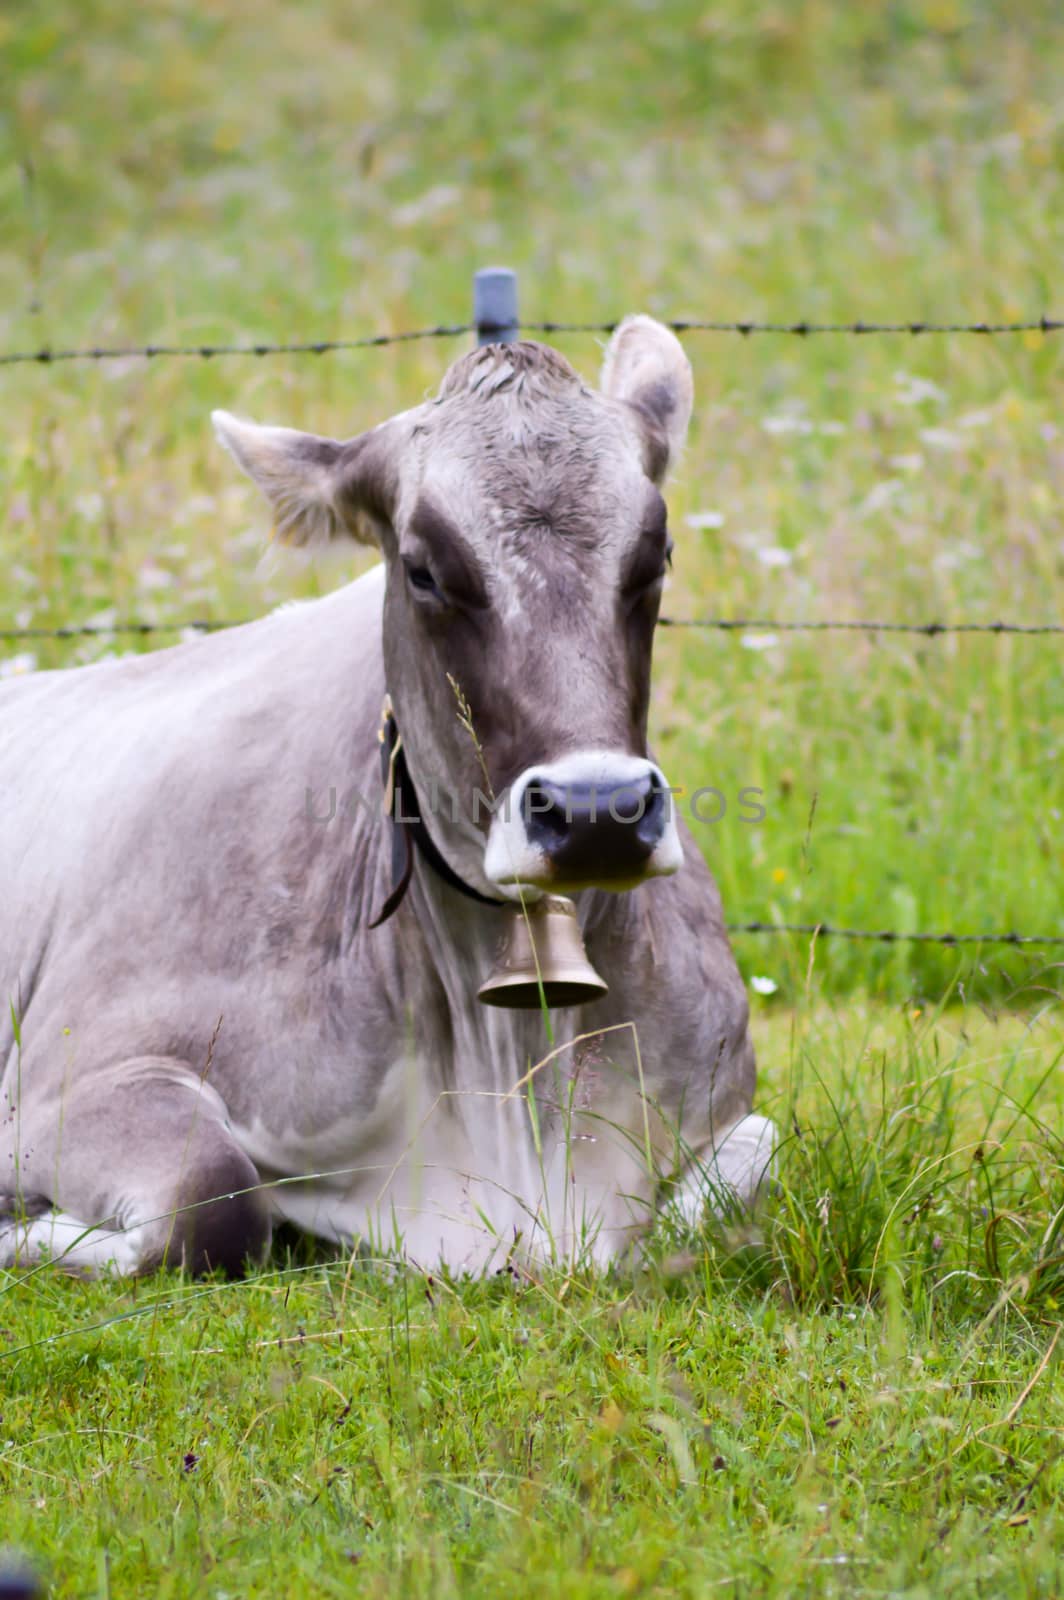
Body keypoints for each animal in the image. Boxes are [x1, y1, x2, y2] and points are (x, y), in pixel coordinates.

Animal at [2, 321, 771, 1273]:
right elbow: (211, 1199)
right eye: (422, 571)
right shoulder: (65, 1084)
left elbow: (744, 1176)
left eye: (655, 554)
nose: (599, 812)